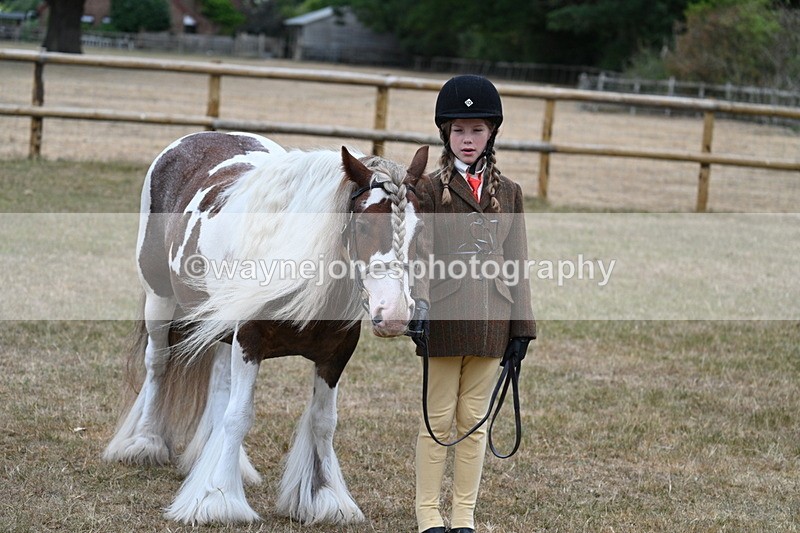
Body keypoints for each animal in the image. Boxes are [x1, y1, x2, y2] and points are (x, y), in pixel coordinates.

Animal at [102, 131, 428, 525]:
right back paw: (146, 442)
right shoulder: (249, 341)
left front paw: (325, 497)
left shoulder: (335, 355)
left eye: (419, 230)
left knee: (220, 384)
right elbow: (239, 416)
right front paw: (219, 499)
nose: (394, 313)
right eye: (363, 225)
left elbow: (323, 421)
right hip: (159, 301)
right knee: (158, 364)